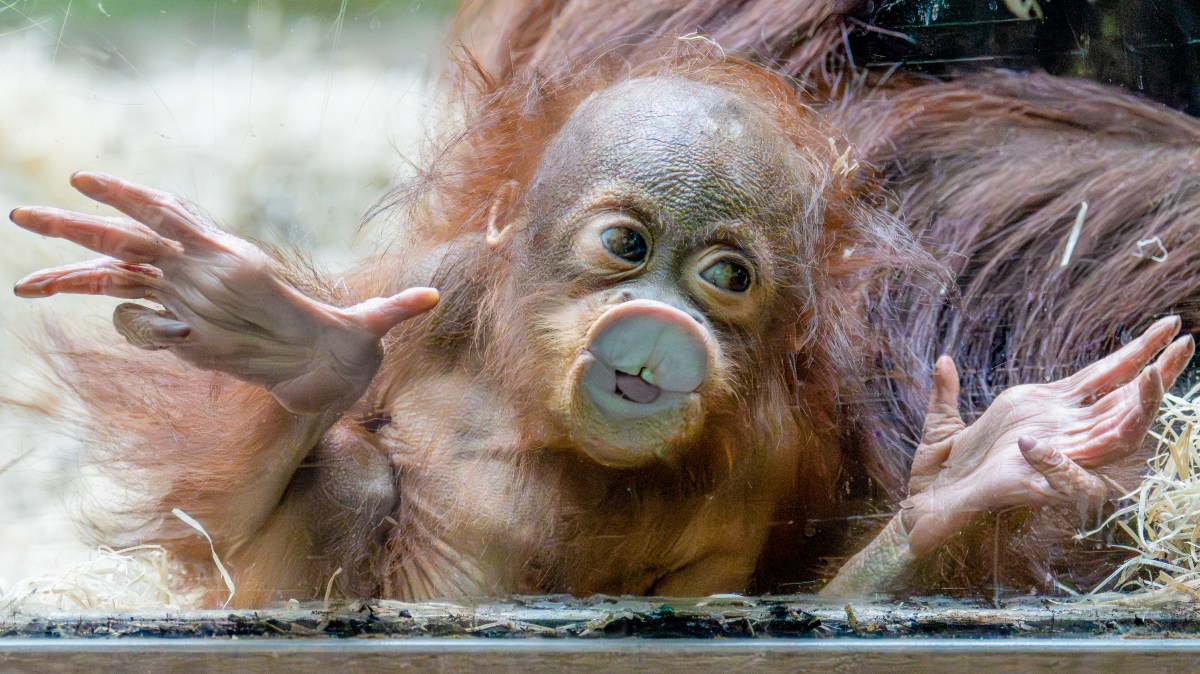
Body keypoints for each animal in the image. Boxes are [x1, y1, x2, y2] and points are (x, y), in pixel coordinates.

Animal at [7, 45, 1194, 606]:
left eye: (724, 275)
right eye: (628, 245)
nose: (659, 318)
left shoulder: (771, 455)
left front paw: (969, 478)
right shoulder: (439, 286)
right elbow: (213, 522)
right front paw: (294, 344)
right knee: (343, 470)